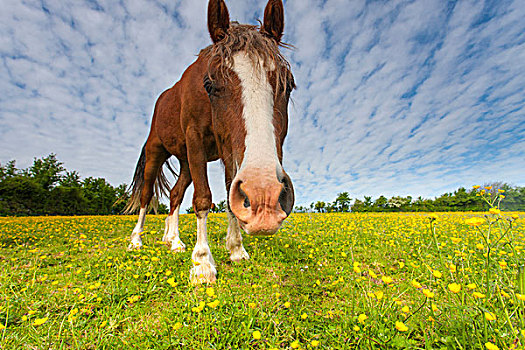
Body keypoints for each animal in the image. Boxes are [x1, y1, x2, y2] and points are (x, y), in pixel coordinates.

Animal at [124, 0, 292, 284]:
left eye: (289, 85)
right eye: (211, 85)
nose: (265, 198)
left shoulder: (227, 150)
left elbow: (230, 194)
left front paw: (236, 249)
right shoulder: (196, 141)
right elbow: (203, 198)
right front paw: (202, 262)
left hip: (186, 162)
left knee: (175, 194)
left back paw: (173, 240)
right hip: (157, 152)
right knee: (147, 195)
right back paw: (136, 240)